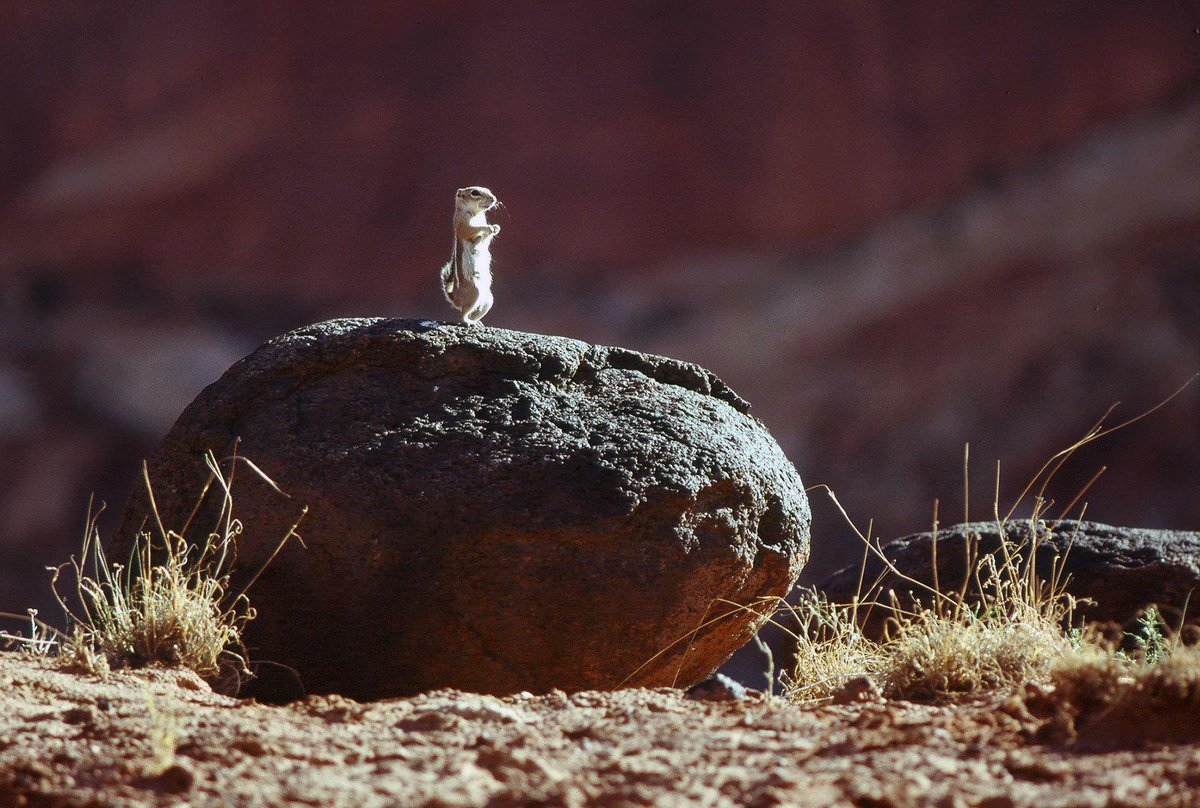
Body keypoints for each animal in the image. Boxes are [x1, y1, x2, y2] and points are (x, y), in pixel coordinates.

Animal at [440, 186, 501, 324]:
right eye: (475, 193)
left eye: (489, 190)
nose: (494, 199)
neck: (477, 213)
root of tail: (456, 299)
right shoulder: (462, 223)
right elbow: (469, 230)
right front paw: (488, 227)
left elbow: (487, 238)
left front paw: (496, 227)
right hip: (475, 292)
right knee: (462, 314)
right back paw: (468, 322)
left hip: (488, 299)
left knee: (474, 312)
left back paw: (477, 322)